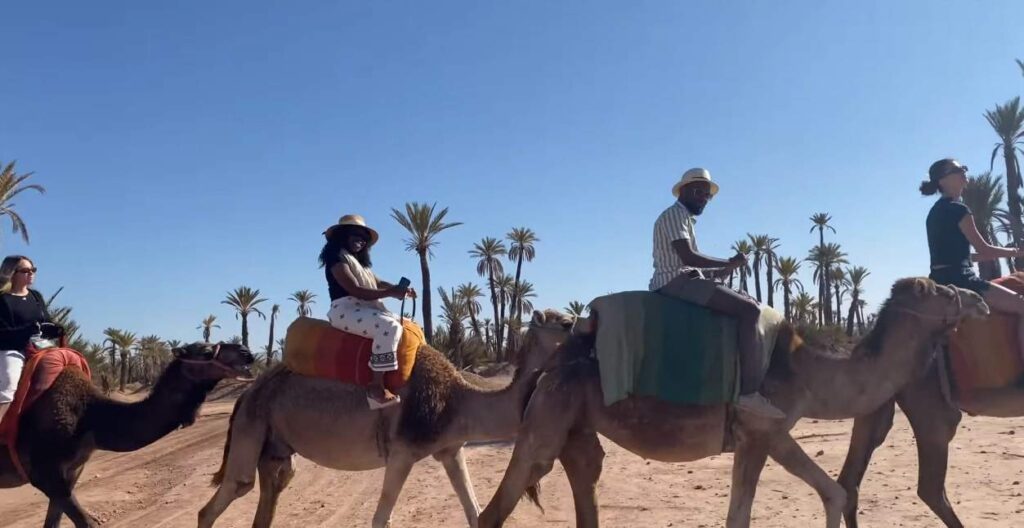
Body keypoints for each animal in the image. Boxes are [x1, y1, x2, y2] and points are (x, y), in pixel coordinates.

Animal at [0, 341, 253, 528]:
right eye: (206, 351)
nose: (246, 352)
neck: (90, 418)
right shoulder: (44, 473)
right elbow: (87, 523)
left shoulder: (71, 471)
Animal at [193, 306, 577, 528]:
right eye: (566, 323)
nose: (581, 321)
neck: (458, 400)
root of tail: (246, 393)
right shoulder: (403, 452)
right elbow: (381, 518)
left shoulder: (450, 449)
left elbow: (474, 511)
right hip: (251, 427)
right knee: (224, 497)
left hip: (275, 446)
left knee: (272, 489)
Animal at [475, 278, 987, 523]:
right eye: (943, 292)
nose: (978, 300)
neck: (808, 374)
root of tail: (551, 362)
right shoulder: (760, 431)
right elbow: (749, 514)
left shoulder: (766, 436)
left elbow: (833, 493)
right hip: (546, 419)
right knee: (495, 508)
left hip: (576, 425)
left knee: (584, 480)